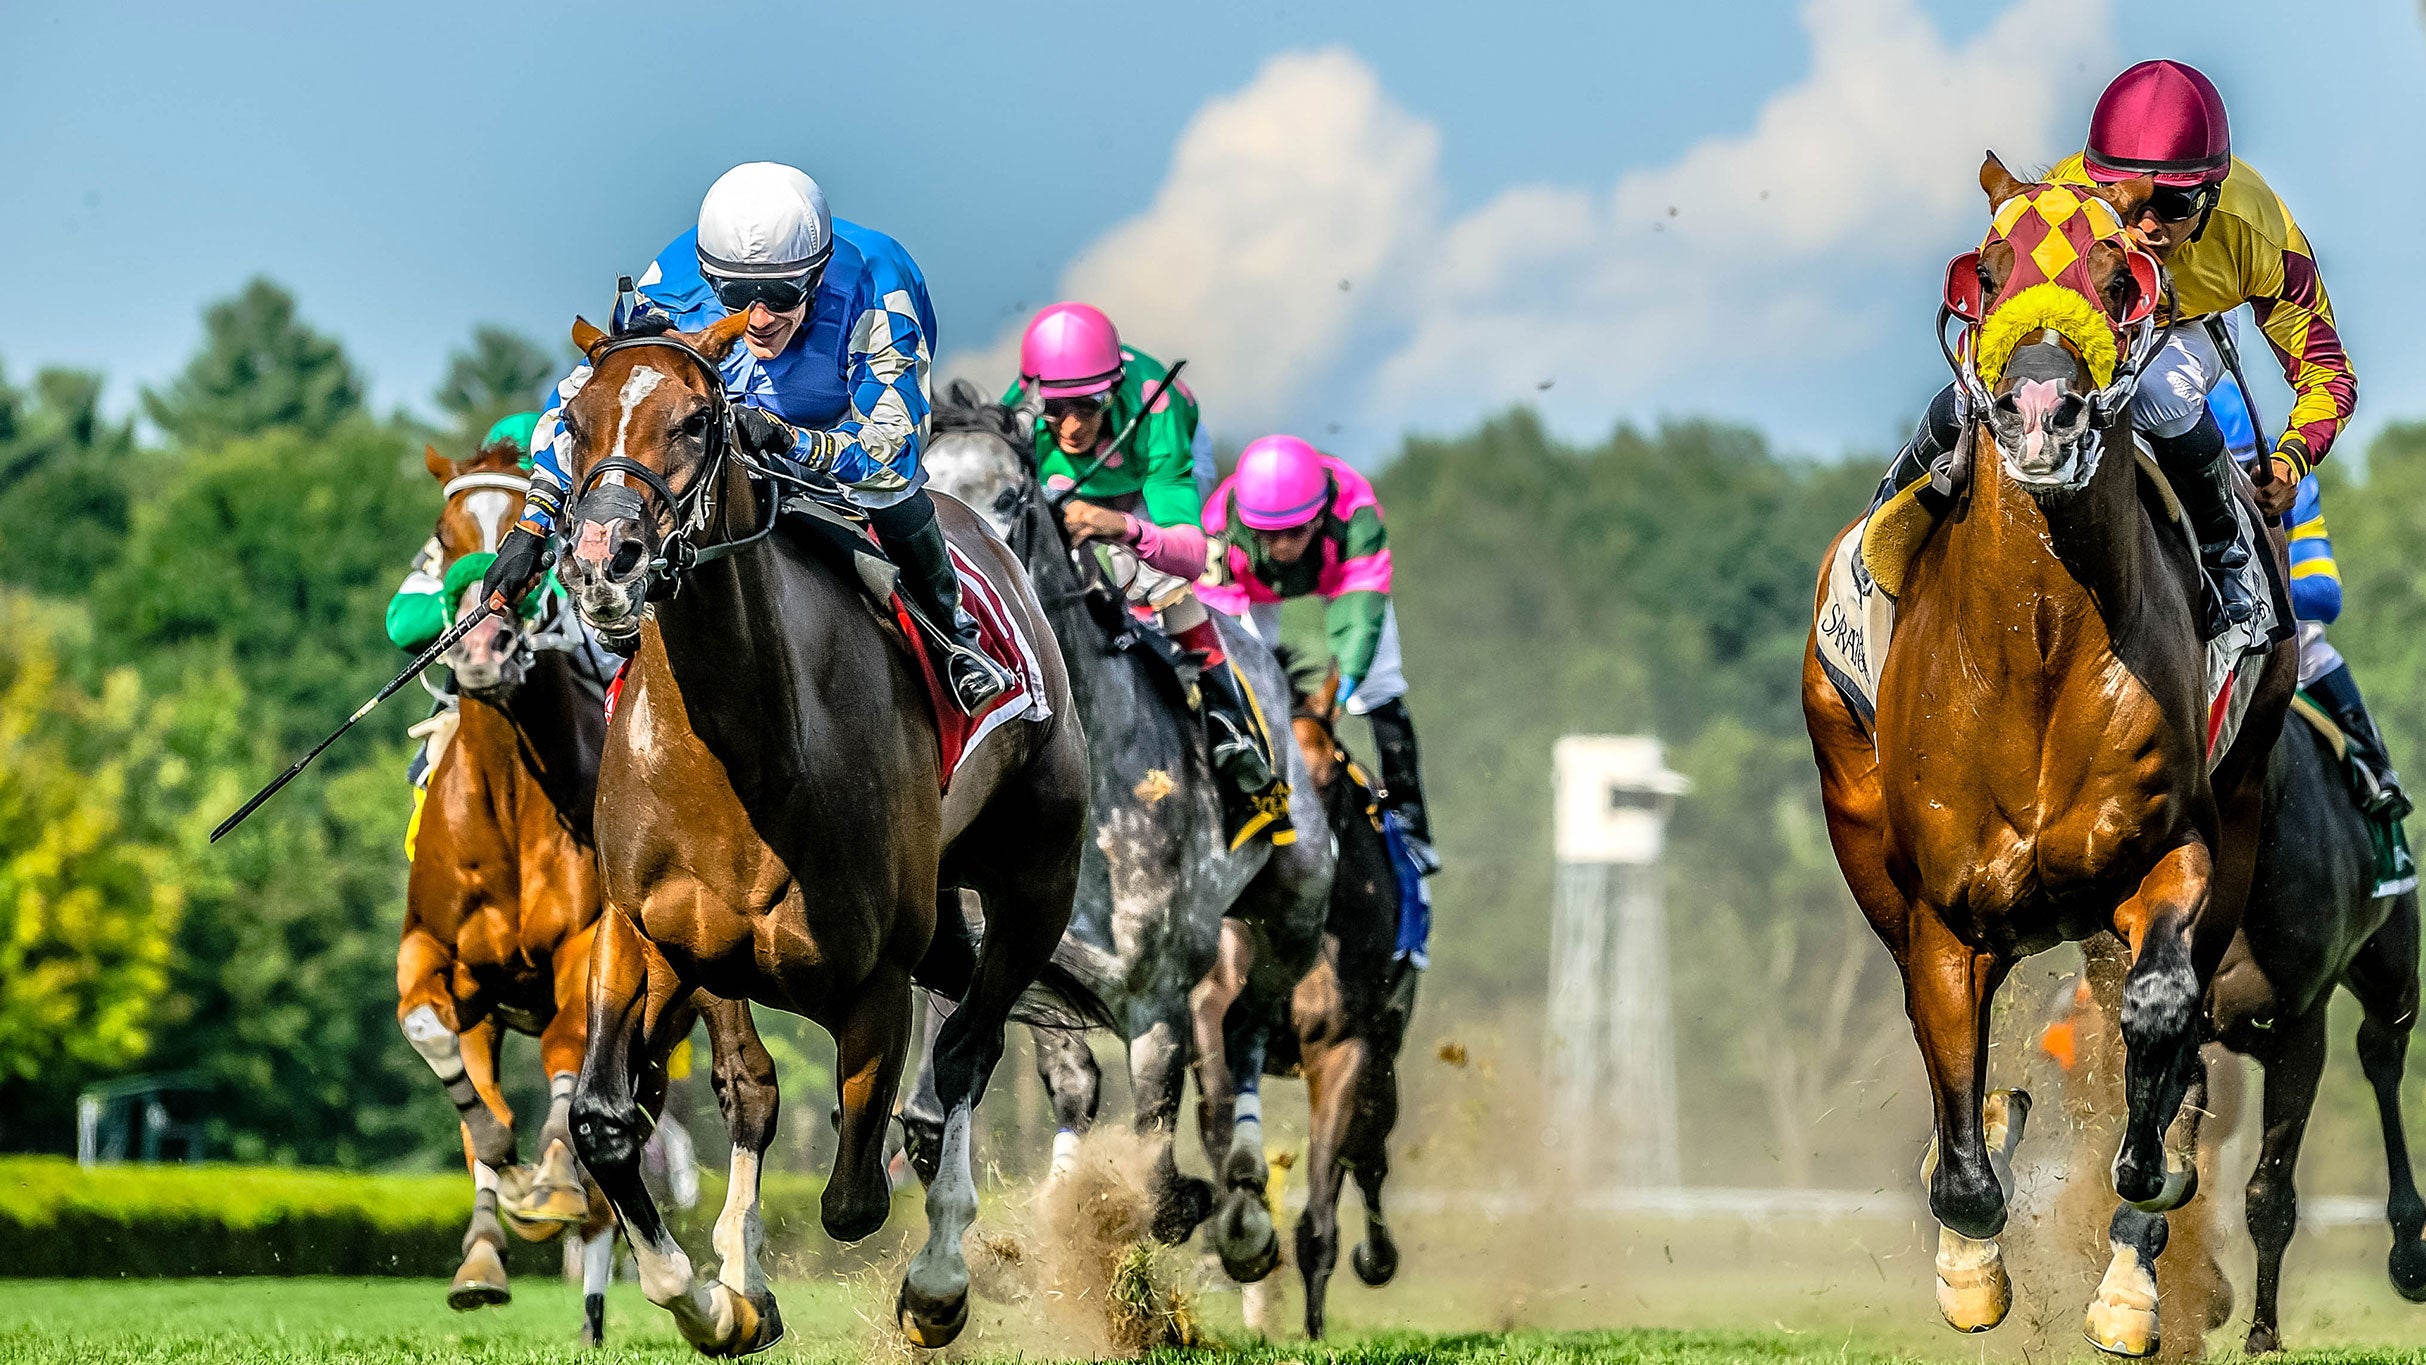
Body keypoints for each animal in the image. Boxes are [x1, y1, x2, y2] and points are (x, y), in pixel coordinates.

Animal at [385, 441, 616, 1348]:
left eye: (535, 530)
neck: (510, 800)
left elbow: (569, 1058)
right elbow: (443, 1057)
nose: (484, 647)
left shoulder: (585, 945)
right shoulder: (436, 951)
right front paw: (505, 1176)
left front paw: (549, 1178)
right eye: (444, 536)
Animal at [550, 312, 1091, 1357]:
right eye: (575, 420)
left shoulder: (878, 977)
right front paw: (718, 1296)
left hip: (1038, 877)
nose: (604, 558)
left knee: (967, 1049)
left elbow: (854, 1196)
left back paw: (942, 1279)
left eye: (695, 421)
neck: (739, 752)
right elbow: (610, 1118)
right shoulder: (649, 936)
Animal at [921, 390, 1339, 1289]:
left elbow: (1155, 1158)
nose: (963, 601)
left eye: (1012, 495)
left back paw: (1246, 1209)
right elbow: (1074, 1086)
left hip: (1294, 910)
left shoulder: (1157, 999)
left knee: (1248, 1027)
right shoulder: (1031, 959)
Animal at [1804, 157, 2290, 1348]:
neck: (2034, 638)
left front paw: (2148, 1194)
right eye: (1987, 270)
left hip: (2236, 822)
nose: (2037, 410)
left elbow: (2156, 1025)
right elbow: (1964, 1151)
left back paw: (2132, 1268)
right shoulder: (1943, 914)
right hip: (1857, 823)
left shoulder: (2169, 853)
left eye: (2119, 278)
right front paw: (1971, 1263)